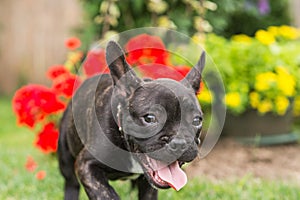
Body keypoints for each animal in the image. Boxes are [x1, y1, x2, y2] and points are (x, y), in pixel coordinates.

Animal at [57, 41, 205, 200]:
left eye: (197, 121)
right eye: (149, 118)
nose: (179, 143)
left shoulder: (149, 186)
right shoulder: (85, 164)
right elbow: (104, 192)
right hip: (65, 154)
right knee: (71, 182)